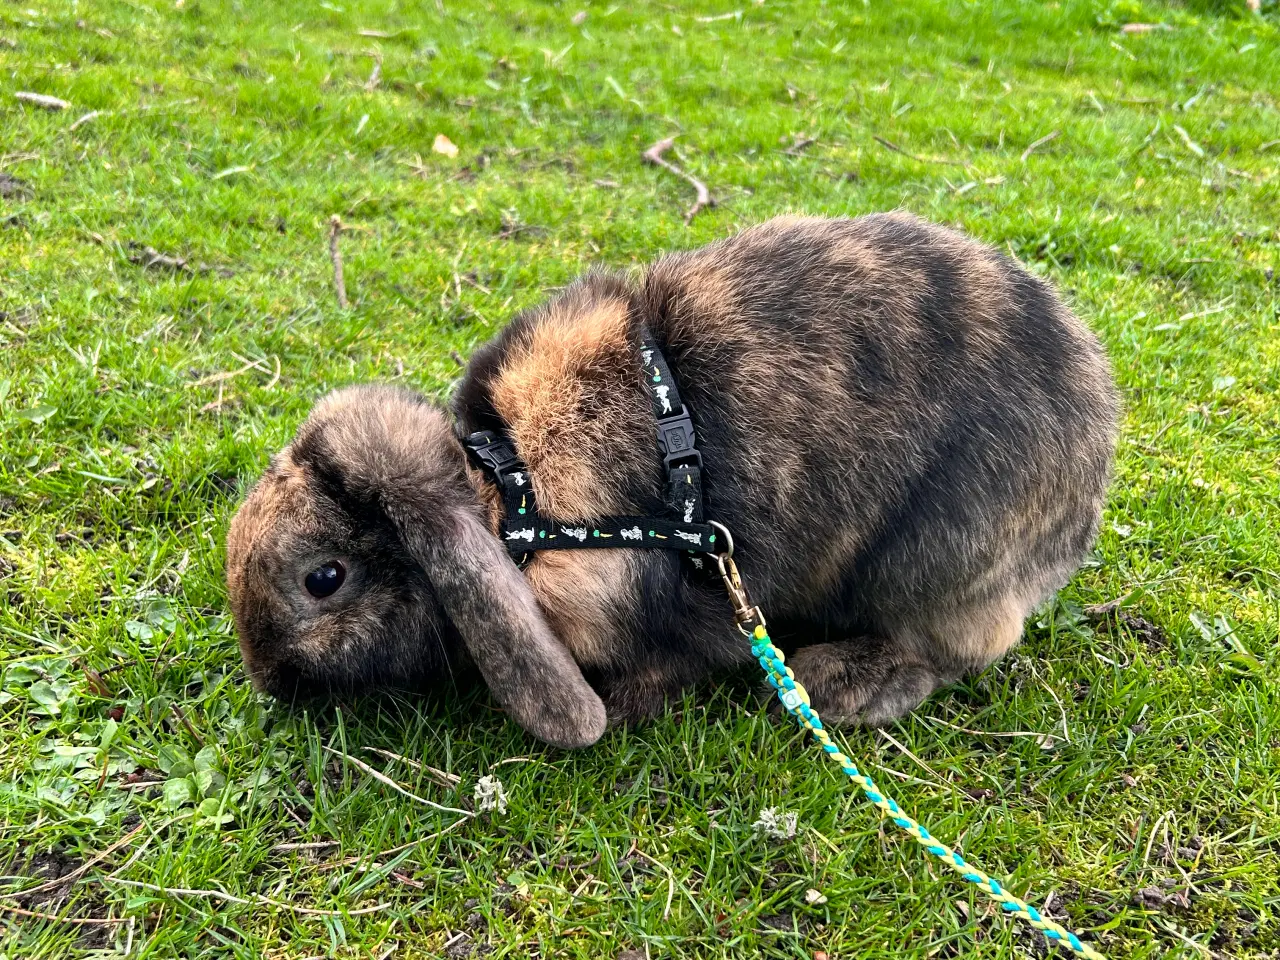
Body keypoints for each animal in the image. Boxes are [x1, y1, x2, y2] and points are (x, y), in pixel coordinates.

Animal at [230, 213, 1121, 747]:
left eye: (324, 579)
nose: (267, 680)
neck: (506, 497)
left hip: (931, 564)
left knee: (962, 648)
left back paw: (838, 686)